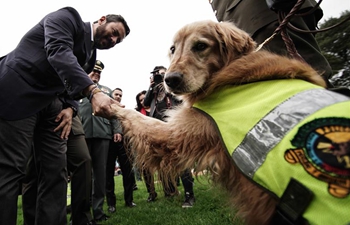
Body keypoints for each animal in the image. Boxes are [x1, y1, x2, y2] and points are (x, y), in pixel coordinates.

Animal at [111, 20, 350, 224]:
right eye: (173, 49)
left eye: (200, 46)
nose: (170, 80)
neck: (227, 75)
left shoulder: (176, 137)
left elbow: (136, 116)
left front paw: (109, 105)